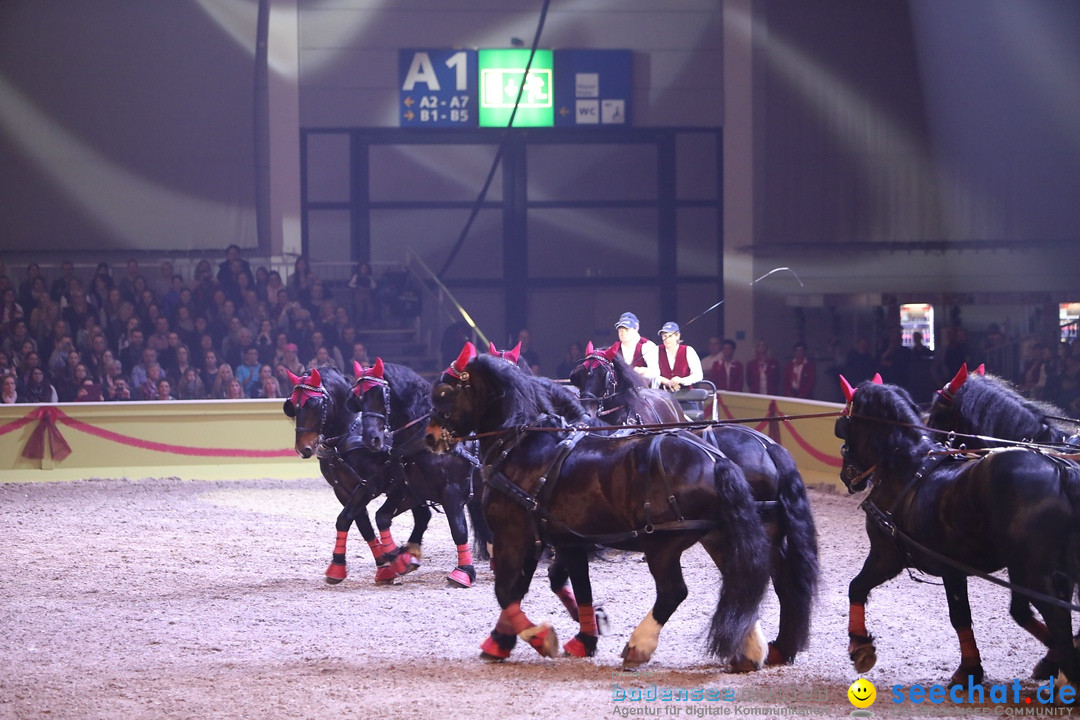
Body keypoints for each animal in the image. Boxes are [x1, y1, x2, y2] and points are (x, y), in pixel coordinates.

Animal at [287, 369, 434, 582]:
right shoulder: (343, 491)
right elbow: (363, 526)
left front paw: (337, 566)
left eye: (314, 404)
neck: (345, 438)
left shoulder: (368, 486)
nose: (303, 448)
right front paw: (384, 566)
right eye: (292, 405)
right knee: (423, 515)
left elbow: (344, 519)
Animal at [347, 358, 492, 587]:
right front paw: (400, 560)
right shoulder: (412, 490)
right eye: (358, 398)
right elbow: (382, 517)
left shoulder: (451, 492)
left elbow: (458, 530)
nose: (372, 439)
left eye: (380, 394)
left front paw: (464, 572)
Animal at [425, 343, 773, 669]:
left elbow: (506, 591)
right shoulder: (558, 539)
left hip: (662, 545)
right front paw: (571, 635)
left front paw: (538, 637)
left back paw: (639, 645)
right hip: (716, 537)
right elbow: (560, 588)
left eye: (443, 392)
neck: (522, 444)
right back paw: (749, 647)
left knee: (673, 592)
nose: (429, 437)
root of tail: (715, 460)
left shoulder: (515, 535)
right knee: (738, 581)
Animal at [838, 377, 1080, 686]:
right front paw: (973, 668)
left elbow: (857, 587)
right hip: (1050, 572)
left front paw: (860, 646)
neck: (905, 467)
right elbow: (979, 615)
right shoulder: (957, 568)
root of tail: (1061, 470)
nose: (847, 476)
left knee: (1058, 618)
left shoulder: (889, 556)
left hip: (1036, 574)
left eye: (844, 425)